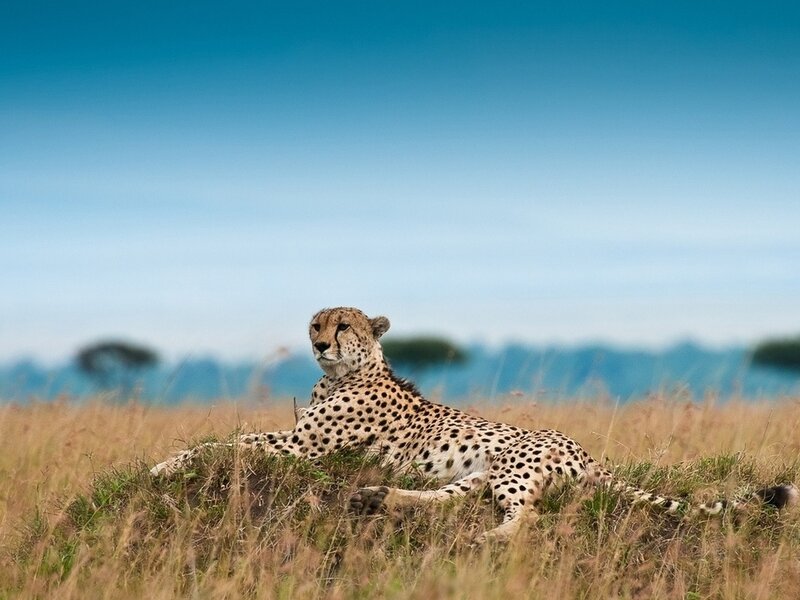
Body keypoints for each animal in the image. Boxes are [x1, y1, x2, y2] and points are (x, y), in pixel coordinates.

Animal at [151, 306, 797, 543]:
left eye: (342, 326)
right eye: (316, 322)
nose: (317, 343)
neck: (343, 374)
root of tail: (588, 452)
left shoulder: (302, 447)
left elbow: (230, 442)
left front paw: (164, 464)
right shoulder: (297, 440)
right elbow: (232, 439)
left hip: (511, 465)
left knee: (525, 516)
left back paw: (484, 537)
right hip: (480, 473)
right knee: (452, 499)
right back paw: (379, 497)